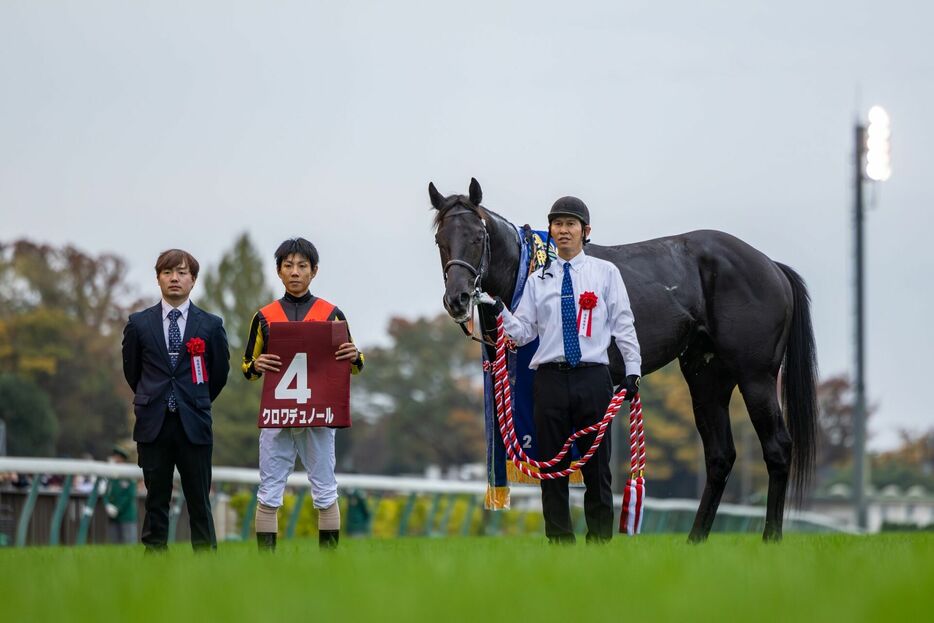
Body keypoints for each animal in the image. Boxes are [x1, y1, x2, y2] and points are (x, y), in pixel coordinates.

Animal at [432, 178, 820, 544]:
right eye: (440, 239)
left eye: (478, 236)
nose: (458, 298)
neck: (529, 270)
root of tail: (770, 266)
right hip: (707, 378)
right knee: (720, 455)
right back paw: (695, 539)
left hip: (756, 377)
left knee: (777, 447)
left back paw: (771, 538)